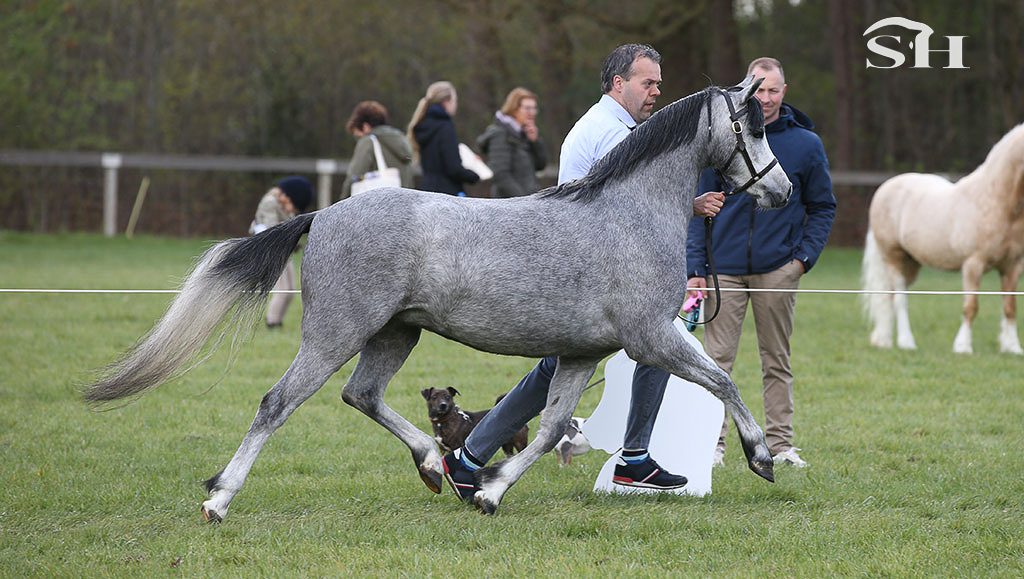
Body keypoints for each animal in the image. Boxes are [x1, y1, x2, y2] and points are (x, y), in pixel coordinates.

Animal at [86, 76, 790, 518]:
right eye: (753, 128)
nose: (780, 189)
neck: (627, 216)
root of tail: (324, 215)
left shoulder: (581, 354)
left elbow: (550, 429)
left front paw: (490, 492)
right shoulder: (653, 338)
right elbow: (723, 382)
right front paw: (761, 457)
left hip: (397, 333)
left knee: (362, 395)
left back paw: (435, 464)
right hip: (336, 334)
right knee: (278, 403)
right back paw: (219, 499)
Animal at [864, 123, 1024, 354]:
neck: (999, 202)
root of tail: (886, 187)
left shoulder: (1012, 266)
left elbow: (1010, 307)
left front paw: (1012, 347)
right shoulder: (973, 264)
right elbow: (971, 306)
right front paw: (963, 346)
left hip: (911, 263)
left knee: (888, 295)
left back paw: (883, 340)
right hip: (893, 256)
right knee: (900, 299)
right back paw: (906, 342)